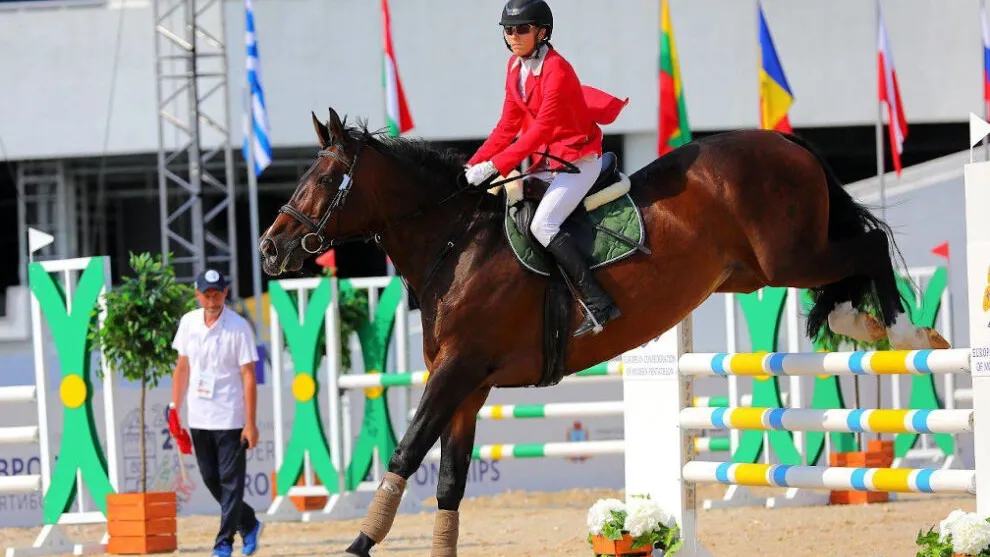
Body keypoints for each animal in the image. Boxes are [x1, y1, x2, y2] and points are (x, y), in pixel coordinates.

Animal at [258, 106, 952, 552]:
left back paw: (905, 336)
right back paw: (863, 323)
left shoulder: (457, 370)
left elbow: (404, 454)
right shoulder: (470, 387)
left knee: (866, 247)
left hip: (790, 256)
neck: (456, 243)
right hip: (755, 272)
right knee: (845, 269)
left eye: (324, 179)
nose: (269, 250)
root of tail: (787, 142)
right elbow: (450, 483)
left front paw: (356, 545)